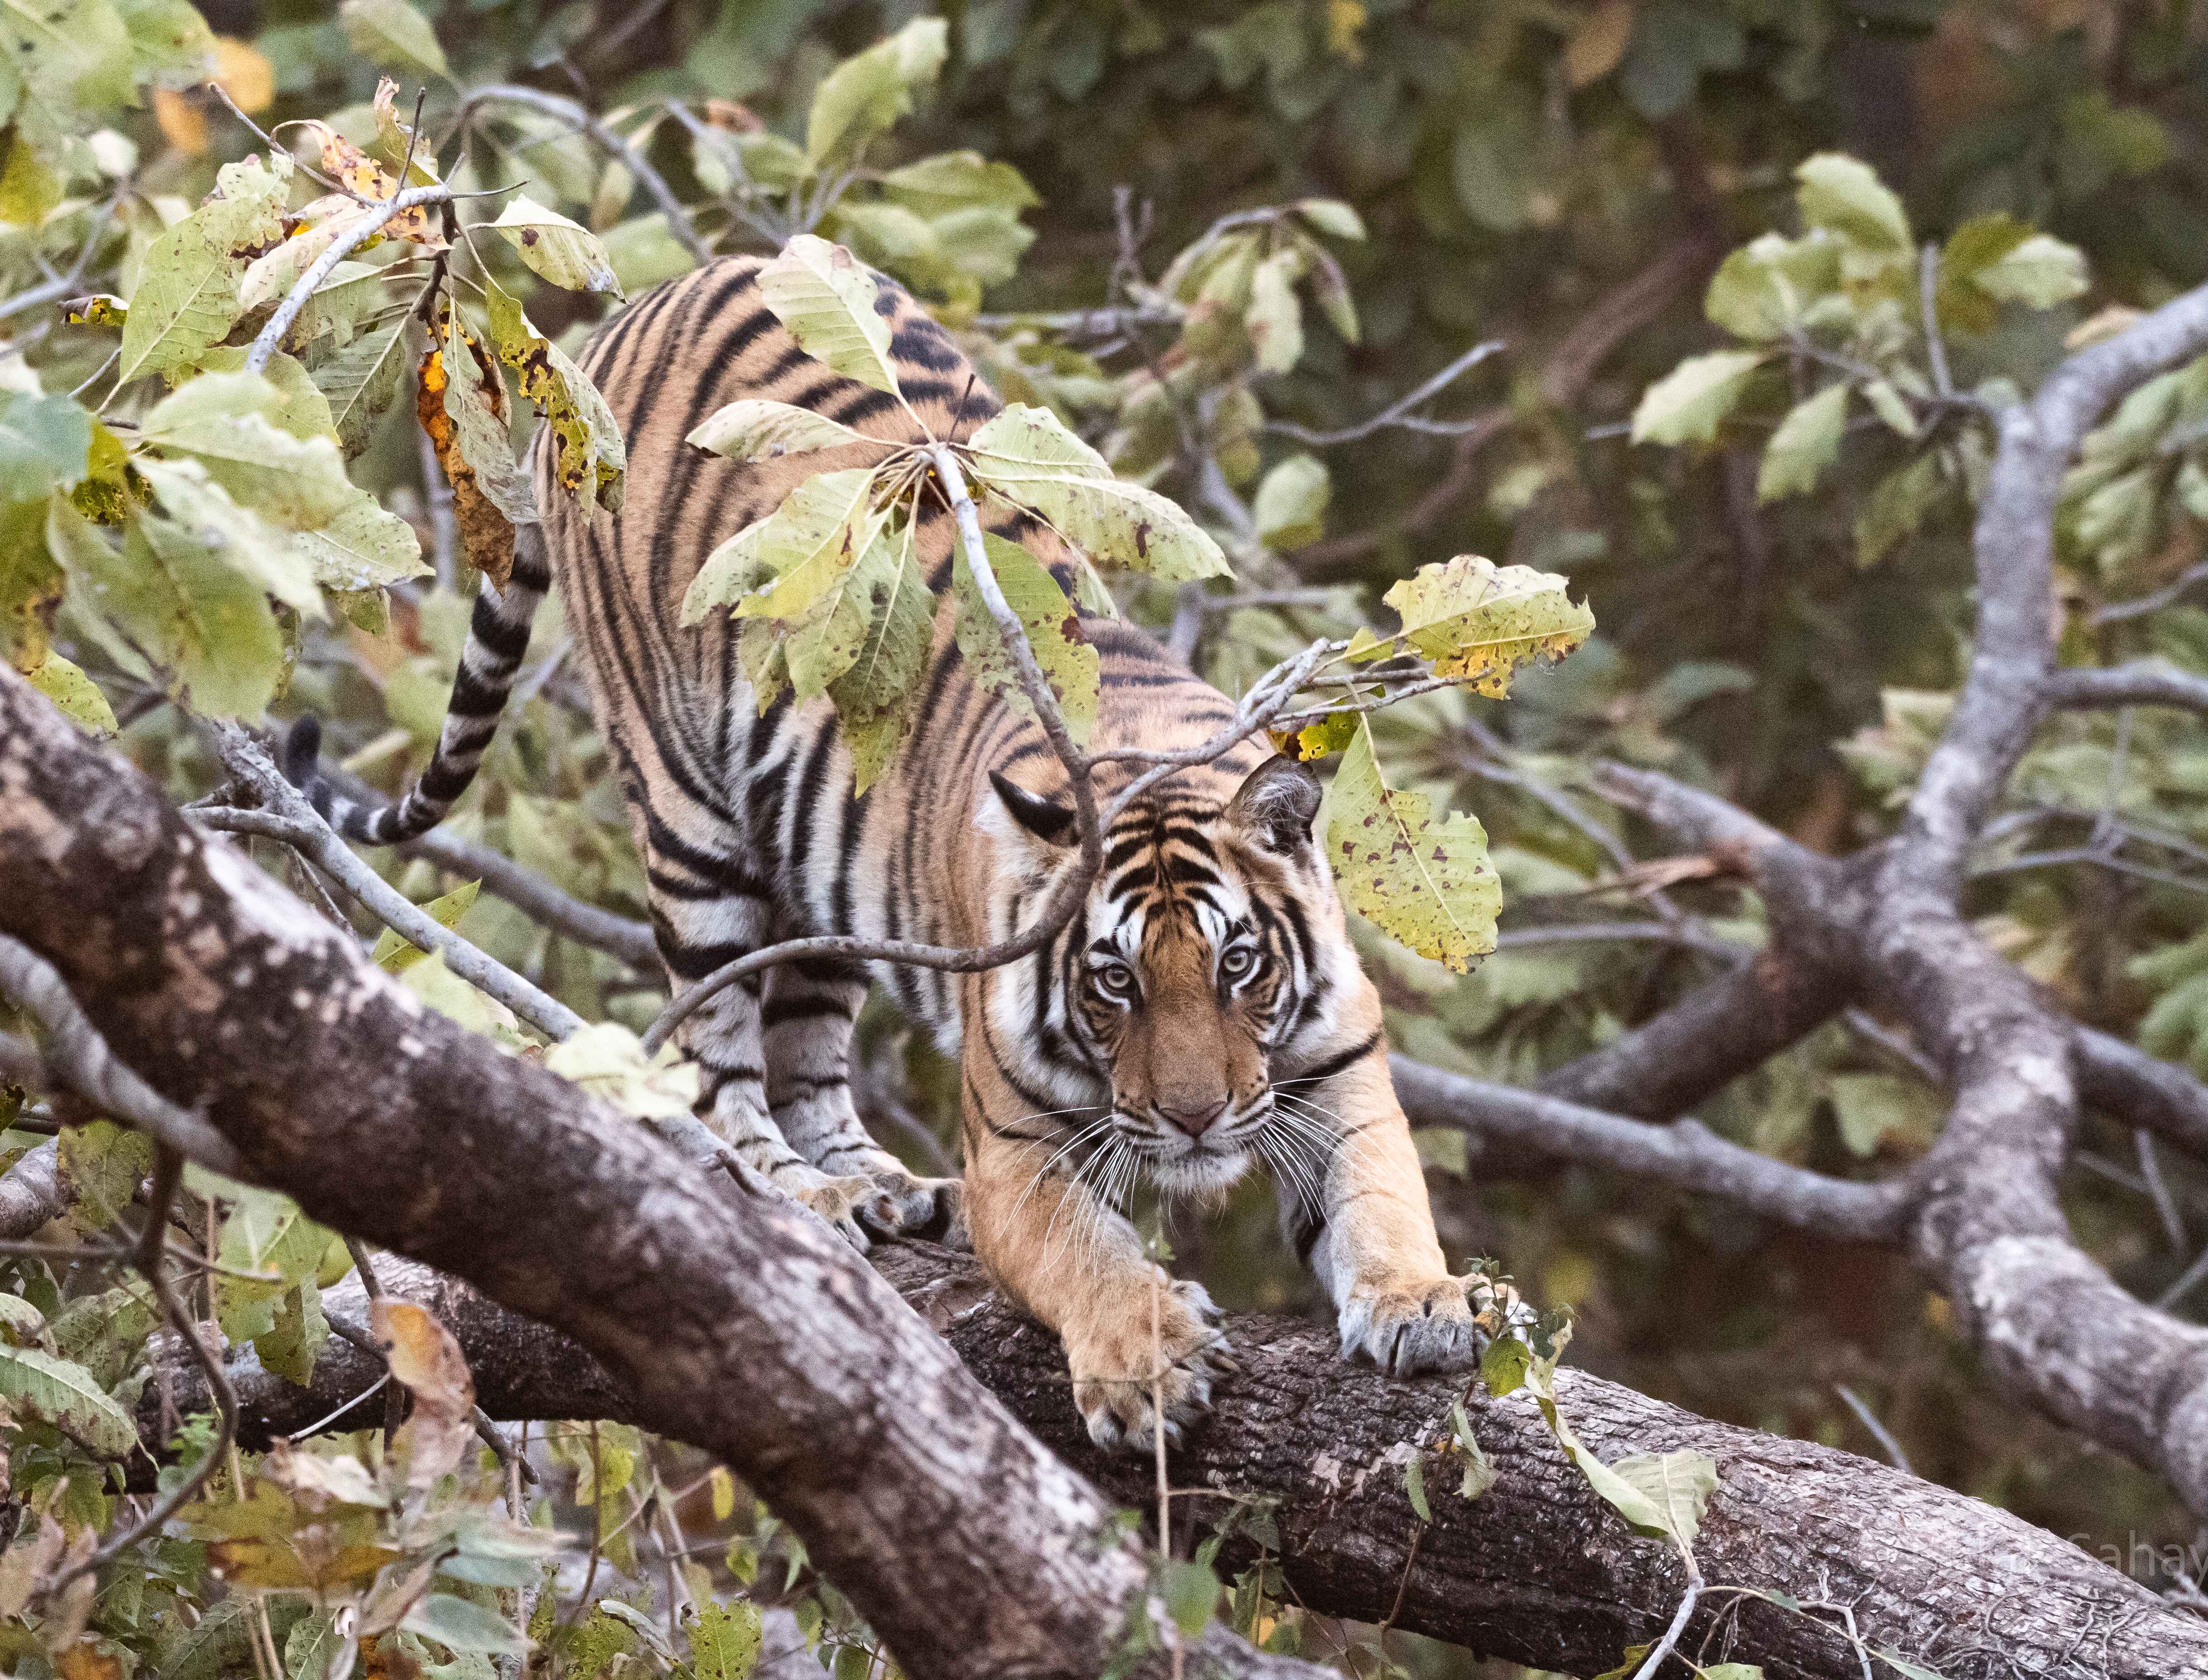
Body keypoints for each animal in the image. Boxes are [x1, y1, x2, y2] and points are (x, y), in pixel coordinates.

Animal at [287, 253, 1483, 1447]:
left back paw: (877, 1185)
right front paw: (1145, 1366)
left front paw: (1423, 1301)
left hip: (828, 869)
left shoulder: (1343, 1078)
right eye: (1113, 981)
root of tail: (639, 307)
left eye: (1239, 963)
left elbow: (1382, 1201)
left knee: (805, 1050)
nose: (1193, 1119)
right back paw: (803, 1193)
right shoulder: (1012, 1151)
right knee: (718, 1066)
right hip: (688, 820)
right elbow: (1085, 1254)